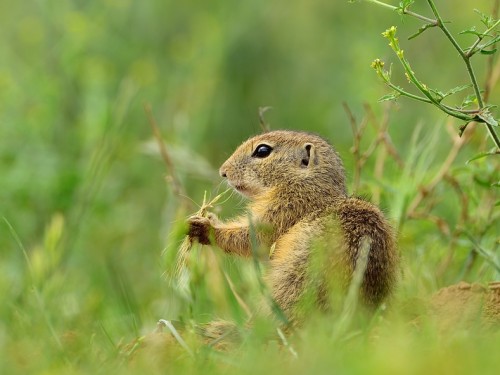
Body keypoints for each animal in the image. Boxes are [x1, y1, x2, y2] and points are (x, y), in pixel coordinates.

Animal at [188, 131, 398, 324]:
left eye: (262, 151)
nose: (223, 171)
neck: (309, 185)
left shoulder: (283, 209)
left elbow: (252, 238)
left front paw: (205, 226)